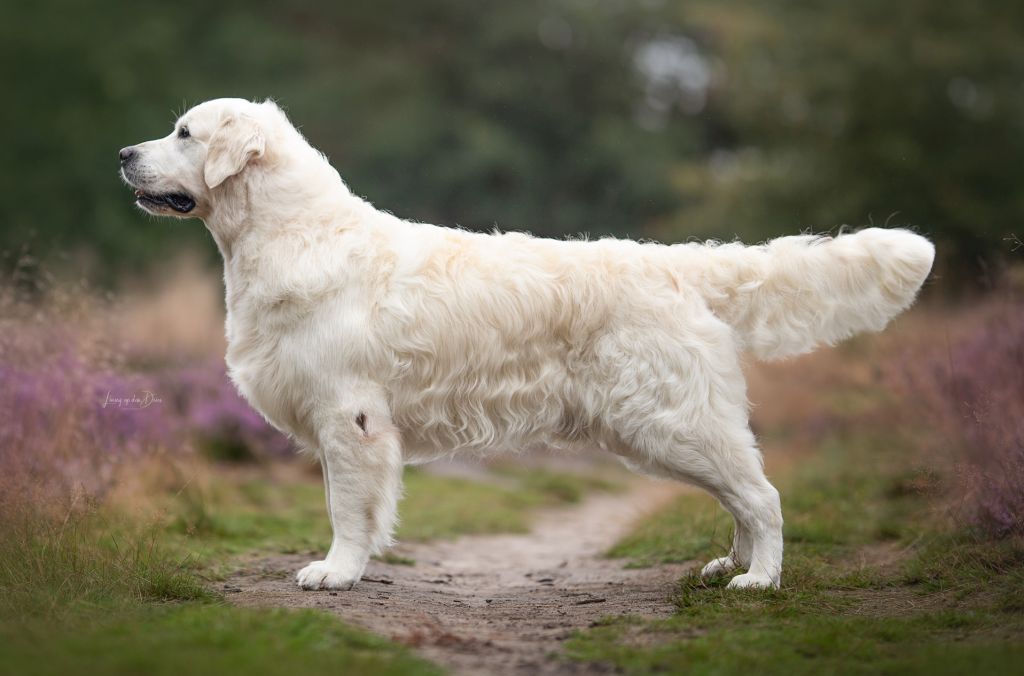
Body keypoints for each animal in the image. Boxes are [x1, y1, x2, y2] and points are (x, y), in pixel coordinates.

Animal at [119, 97, 937, 589]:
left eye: (185, 133)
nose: (124, 152)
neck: (293, 234)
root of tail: (679, 263)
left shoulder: (351, 416)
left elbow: (348, 509)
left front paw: (337, 572)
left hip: (671, 420)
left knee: (762, 496)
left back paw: (759, 580)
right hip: (671, 427)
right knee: (742, 496)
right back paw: (724, 566)